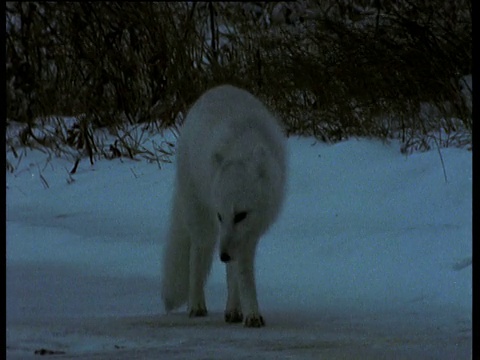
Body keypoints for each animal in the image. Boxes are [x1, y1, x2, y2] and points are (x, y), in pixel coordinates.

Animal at [163, 83, 286, 326]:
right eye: (221, 215)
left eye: (240, 215)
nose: (223, 256)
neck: (243, 145)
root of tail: (217, 88)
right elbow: (243, 275)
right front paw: (252, 314)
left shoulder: (250, 233)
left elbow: (238, 274)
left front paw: (242, 310)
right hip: (202, 222)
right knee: (196, 257)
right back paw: (196, 305)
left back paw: (232, 310)